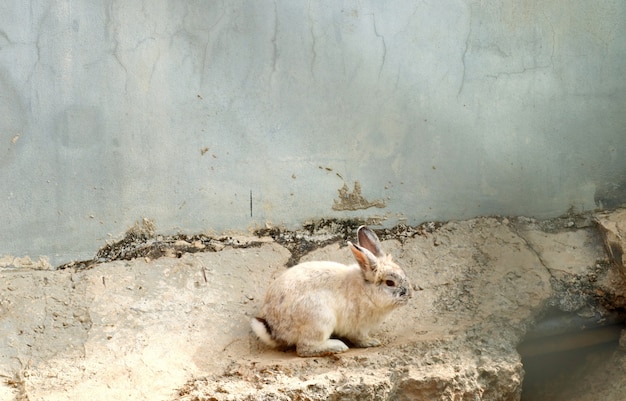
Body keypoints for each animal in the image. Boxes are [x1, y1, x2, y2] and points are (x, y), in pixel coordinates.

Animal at [249, 225, 410, 356]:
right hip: (320, 319)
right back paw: (338, 347)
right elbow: (360, 338)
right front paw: (372, 342)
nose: (409, 295)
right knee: (304, 348)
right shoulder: (358, 327)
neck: (366, 290)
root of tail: (273, 329)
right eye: (390, 283)